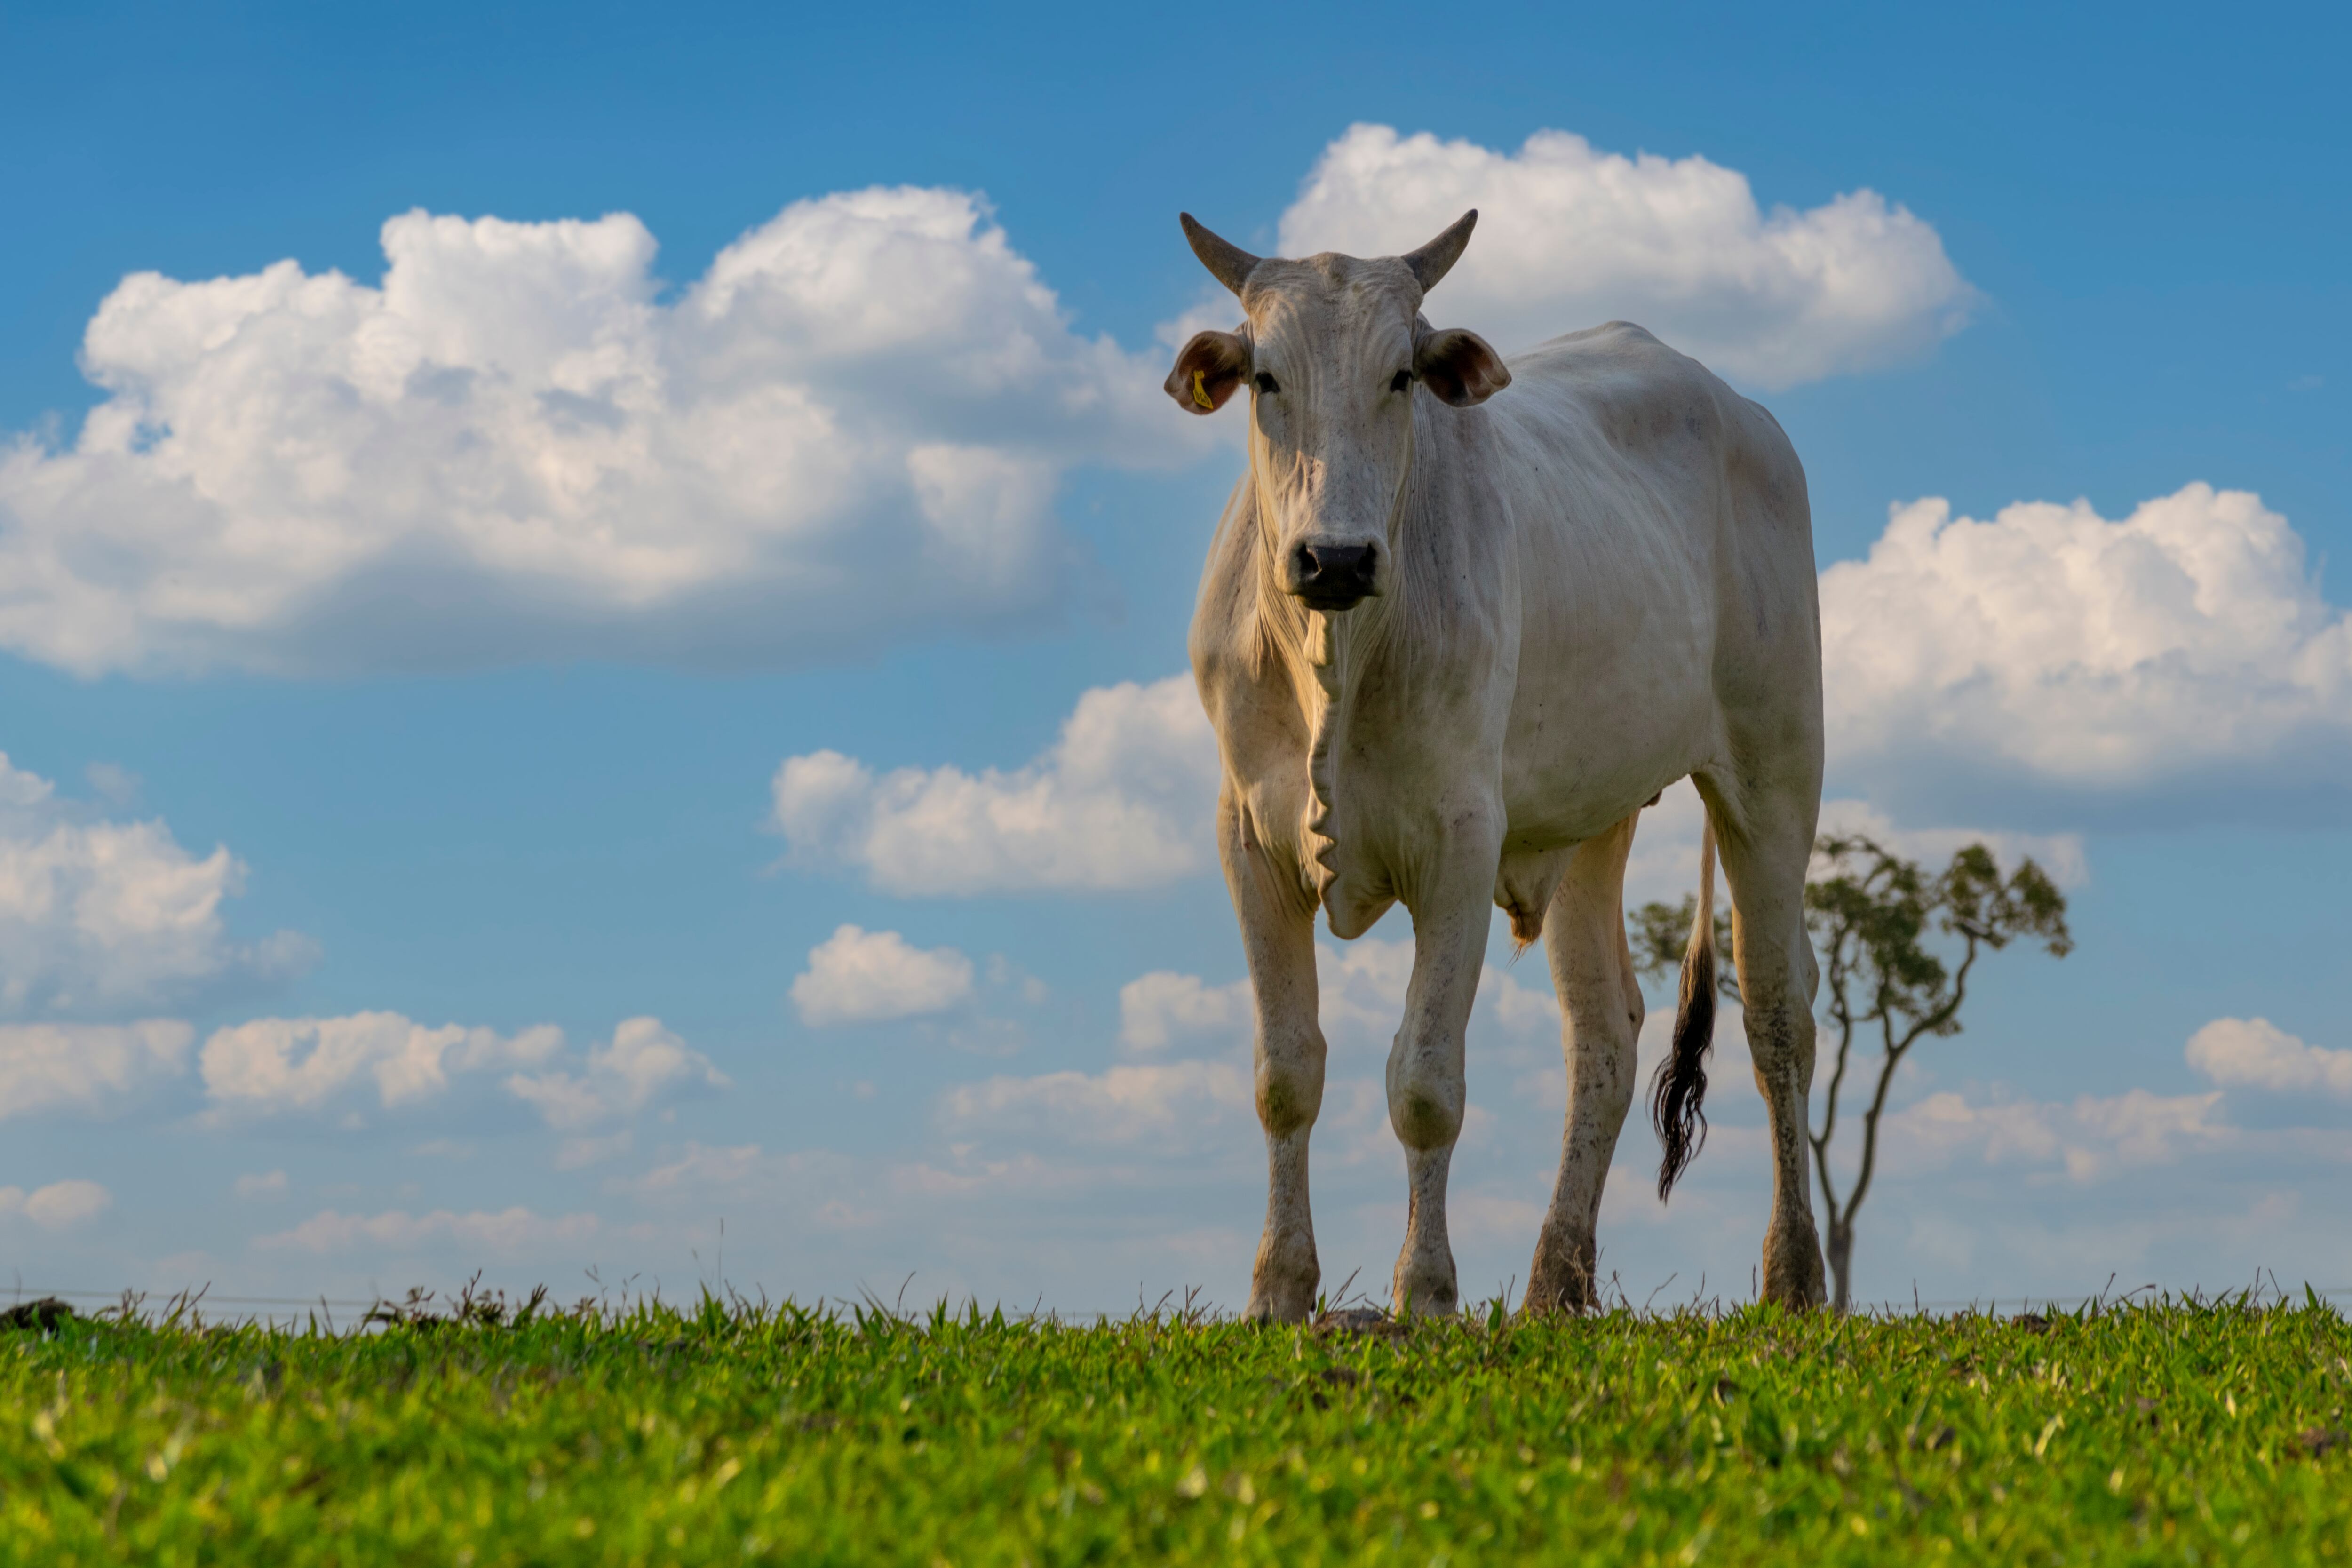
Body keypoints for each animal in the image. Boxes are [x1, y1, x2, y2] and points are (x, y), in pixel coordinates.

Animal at [1165, 210, 1826, 1319]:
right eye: (1265, 377)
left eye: (1401, 375)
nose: (1334, 558)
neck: (1335, 656)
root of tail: (1740, 411)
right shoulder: (1250, 841)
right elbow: (1285, 1073)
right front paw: (1279, 1289)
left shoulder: (1459, 847)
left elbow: (1426, 1083)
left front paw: (1424, 1291)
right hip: (1590, 818)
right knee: (1605, 1035)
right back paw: (1555, 1281)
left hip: (1775, 775)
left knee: (1781, 1017)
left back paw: (1797, 1276)